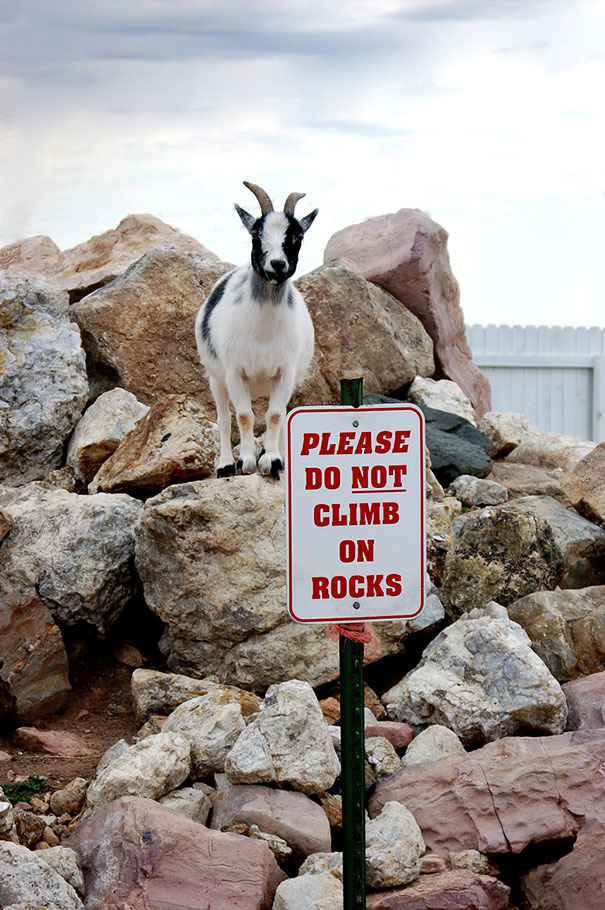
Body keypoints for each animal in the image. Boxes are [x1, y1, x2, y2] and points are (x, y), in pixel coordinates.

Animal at [195, 179, 318, 478]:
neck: (263, 332)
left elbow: (275, 415)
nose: (277, 264)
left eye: (298, 237)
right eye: (255, 234)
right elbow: (243, 416)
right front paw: (246, 461)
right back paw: (226, 464)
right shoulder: (235, 372)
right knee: (224, 418)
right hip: (215, 377)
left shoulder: (285, 373)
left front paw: (271, 460)